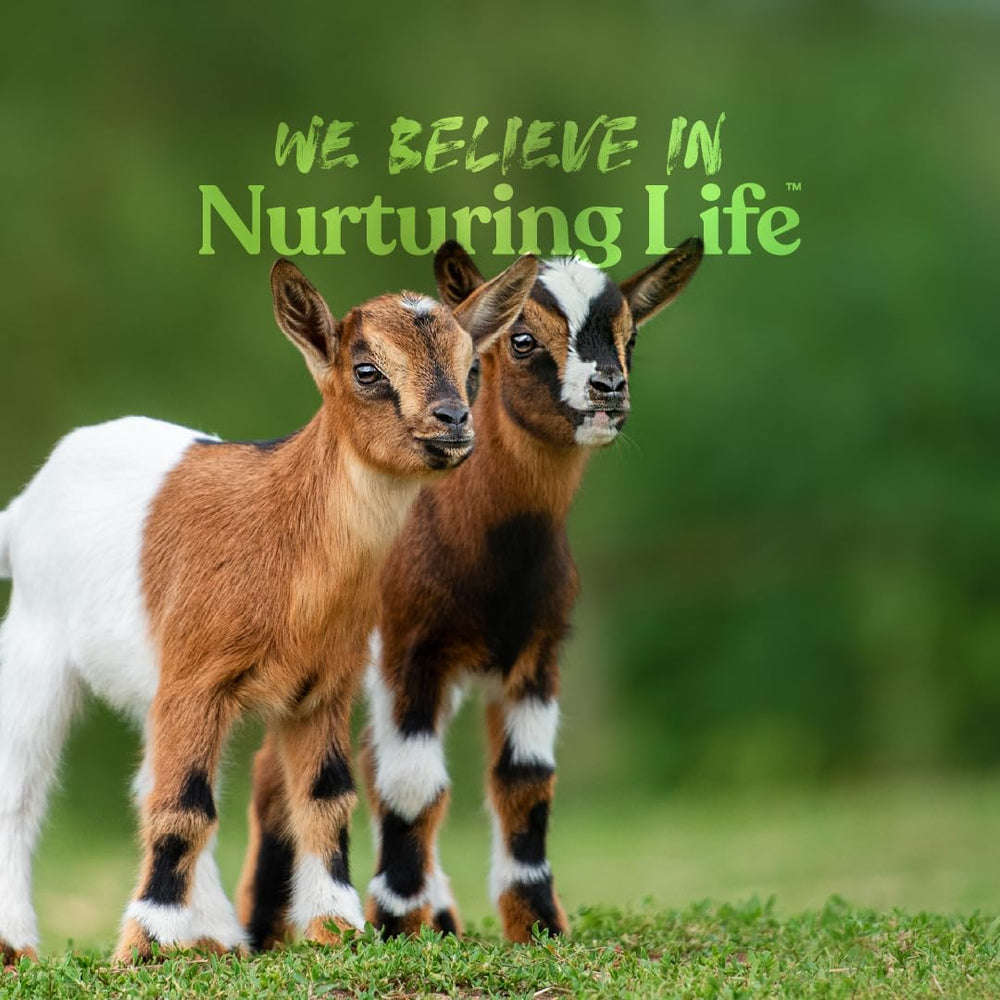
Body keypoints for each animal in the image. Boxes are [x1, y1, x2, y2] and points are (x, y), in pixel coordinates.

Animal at [0, 254, 537, 964]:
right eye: (367, 370)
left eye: (472, 368)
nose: (453, 420)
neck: (284, 537)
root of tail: (23, 506)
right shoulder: (196, 680)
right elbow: (185, 806)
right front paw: (142, 947)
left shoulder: (322, 690)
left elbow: (326, 799)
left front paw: (335, 926)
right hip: (38, 646)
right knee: (23, 788)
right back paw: (18, 945)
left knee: (146, 783)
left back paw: (216, 936)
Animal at [238, 239, 703, 946]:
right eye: (522, 339)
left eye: (631, 337)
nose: (608, 389)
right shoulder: (408, 651)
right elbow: (412, 783)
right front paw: (397, 925)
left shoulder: (536, 654)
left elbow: (525, 779)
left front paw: (537, 925)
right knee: (279, 773)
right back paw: (264, 932)